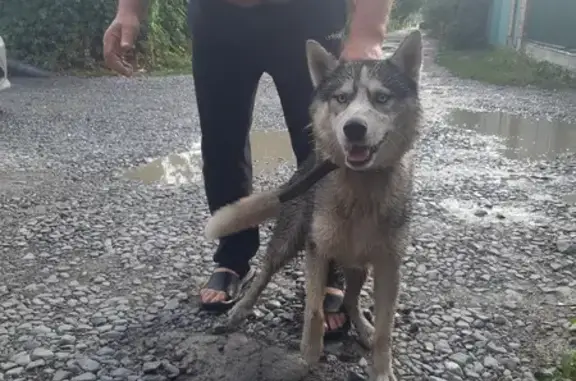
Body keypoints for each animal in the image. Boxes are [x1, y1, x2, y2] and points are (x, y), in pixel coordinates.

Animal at [205, 30, 420, 380]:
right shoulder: (317, 250)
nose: (353, 128)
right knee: (262, 277)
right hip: (287, 242)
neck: (360, 189)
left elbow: (385, 330)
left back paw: (363, 328)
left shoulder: (389, 265)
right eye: (342, 98)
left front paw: (381, 368)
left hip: (359, 267)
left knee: (350, 300)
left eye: (382, 98)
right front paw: (308, 356)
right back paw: (238, 311)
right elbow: (314, 309)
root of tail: (308, 165)